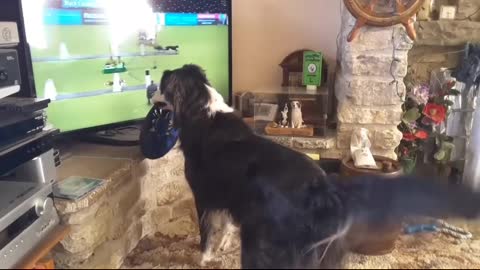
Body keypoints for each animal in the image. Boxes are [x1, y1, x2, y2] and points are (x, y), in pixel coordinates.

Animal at [155, 64, 480, 268]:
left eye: (164, 84)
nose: (155, 85)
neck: (201, 108)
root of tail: (325, 189)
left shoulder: (204, 195)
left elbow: (206, 233)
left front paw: (203, 259)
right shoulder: (227, 197)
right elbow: (225, 226)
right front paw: (222, 247)